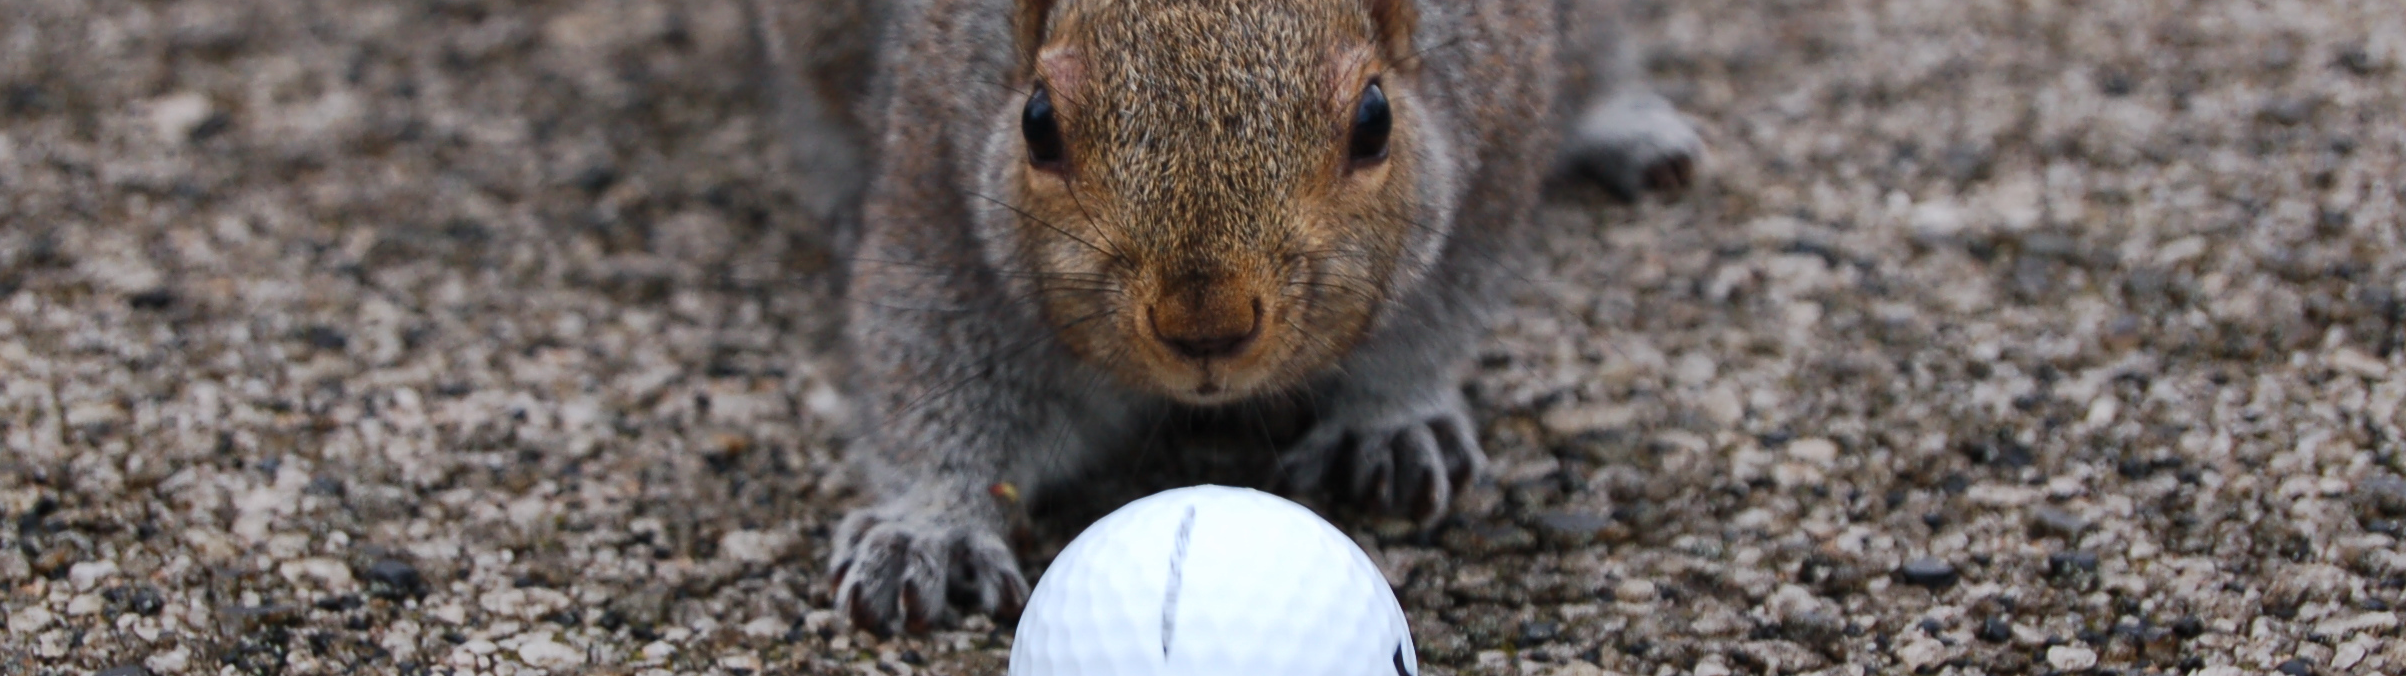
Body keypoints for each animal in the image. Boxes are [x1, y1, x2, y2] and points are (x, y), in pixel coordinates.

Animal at [760, 0, 1703, 635]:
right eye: (1037, 123)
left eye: (1374, 120)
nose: (1204, 325)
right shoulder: (933, 170)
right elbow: (930, 345)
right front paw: (934, 524)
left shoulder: (1498, 141)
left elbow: (1440, 308)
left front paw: (1395, 420)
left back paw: (1629, 127)